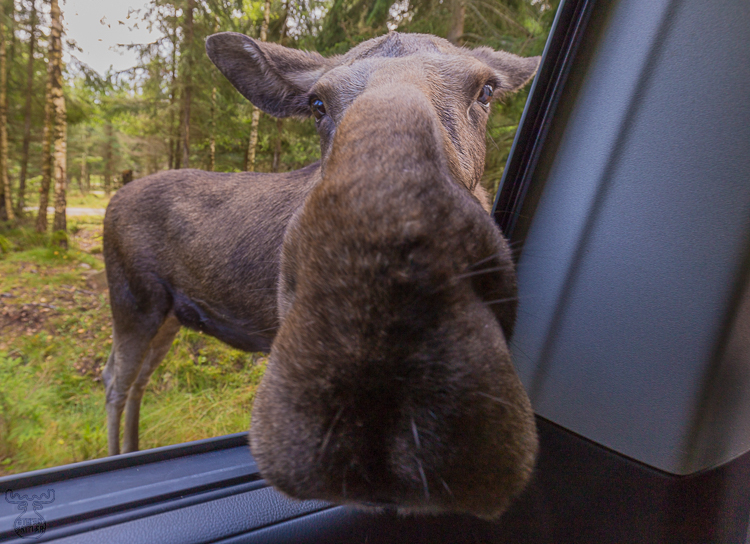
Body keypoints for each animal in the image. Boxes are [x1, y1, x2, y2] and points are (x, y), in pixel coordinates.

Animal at [102, 31, 540, 519]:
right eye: (317, 104)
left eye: (485, 91)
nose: (381, 351)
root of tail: (111, 200)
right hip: (133, 300)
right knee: (114, 379)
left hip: (171, 315)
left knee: (136, 378)